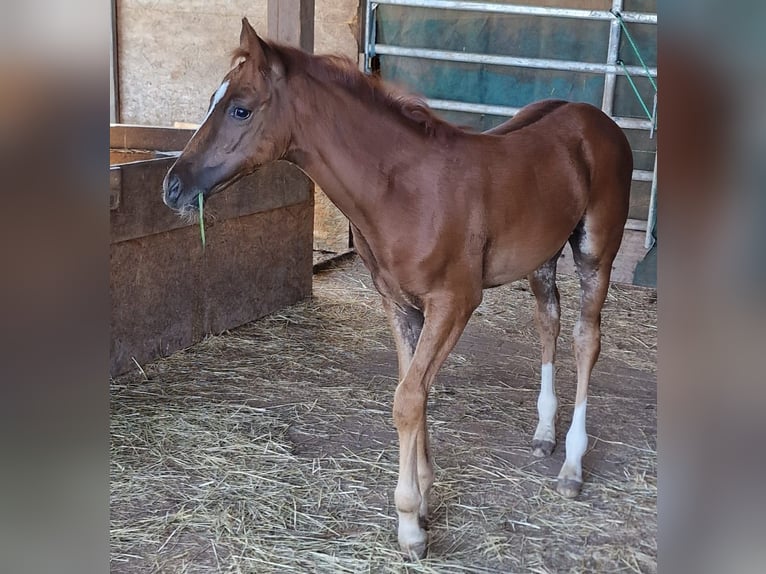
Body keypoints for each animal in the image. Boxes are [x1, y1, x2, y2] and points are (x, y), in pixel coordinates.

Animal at [162, 19, 632, 564]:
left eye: (240, 108)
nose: (172, 187)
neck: (404, 190)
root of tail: (594, 118)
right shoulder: (399, 303)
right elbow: (416, 390)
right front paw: (425, 500)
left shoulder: (454, 302)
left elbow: (407, 399)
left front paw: (410, 525)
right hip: (542, 259)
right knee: (548, 323)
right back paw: (543, 435)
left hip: (595, 253)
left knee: (585, 338)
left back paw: (572, 466)